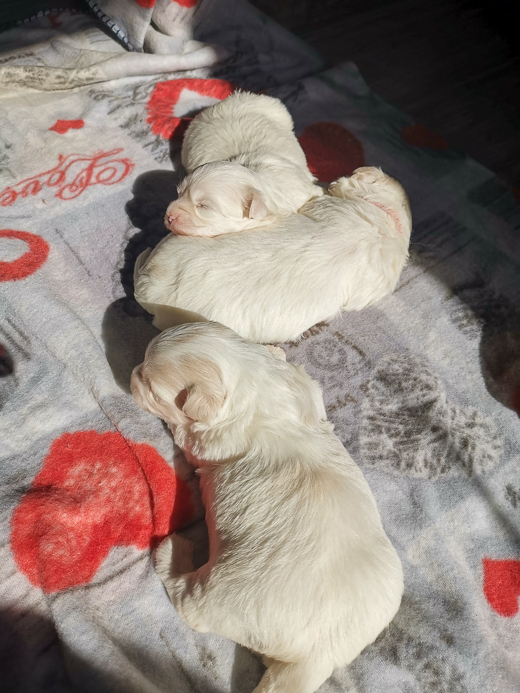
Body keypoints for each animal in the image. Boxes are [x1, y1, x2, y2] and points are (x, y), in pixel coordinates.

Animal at [129, 322, 402, 692]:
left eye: (152, 388)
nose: (132, 373)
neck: (252, 381)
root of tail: (319, 655)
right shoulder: (300, 383)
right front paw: (277, 350)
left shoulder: (210, 440)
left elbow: (188, 436)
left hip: (221, 594)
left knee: (189, 603)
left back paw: (173, 551)